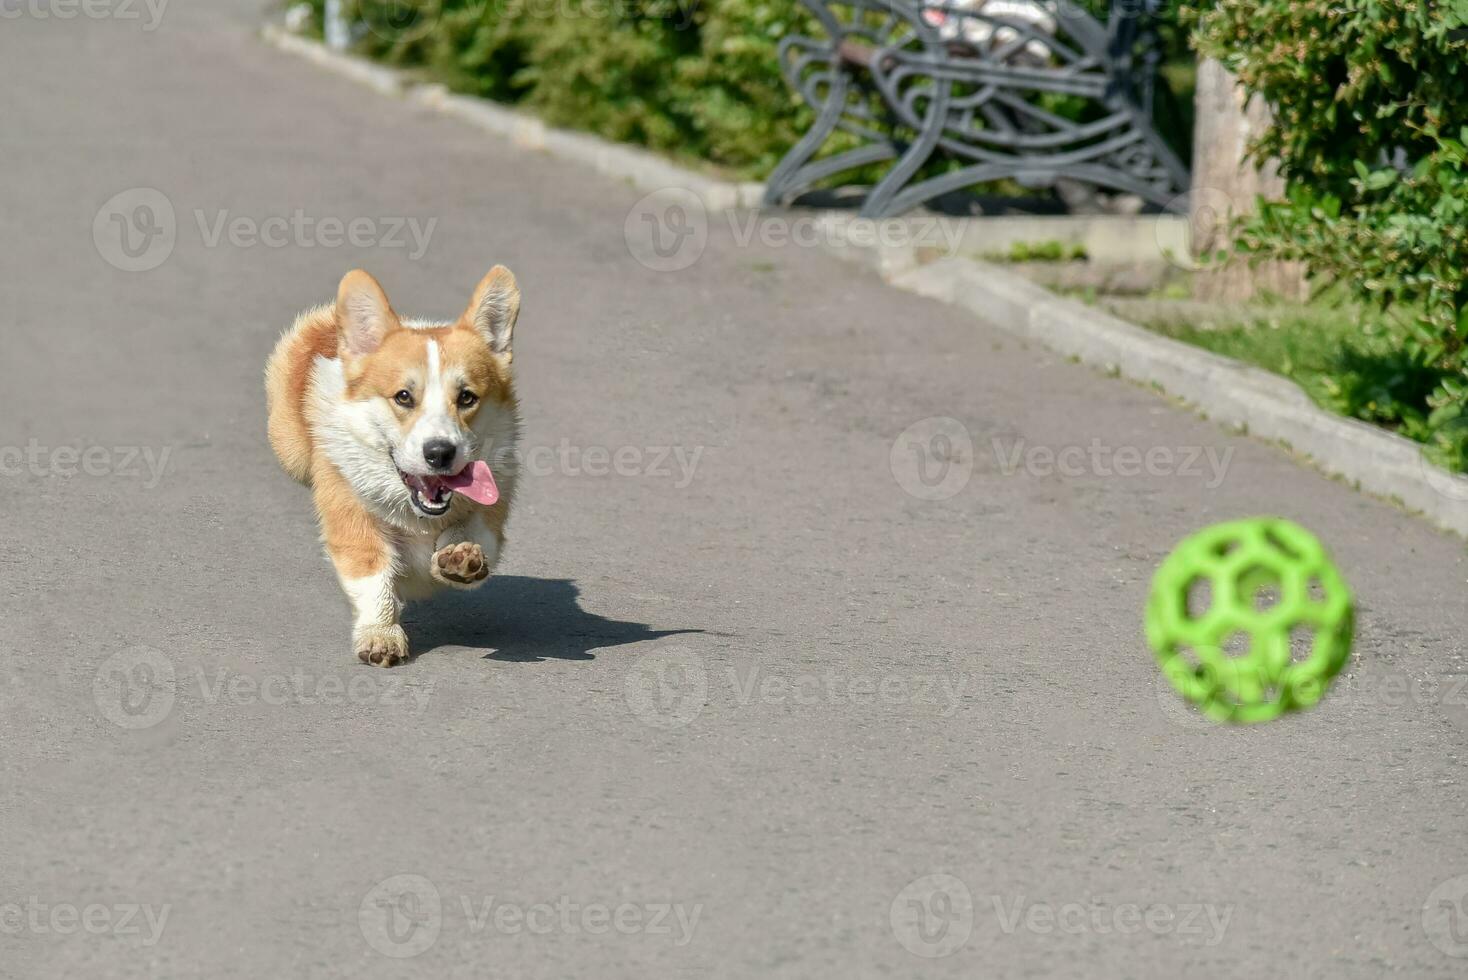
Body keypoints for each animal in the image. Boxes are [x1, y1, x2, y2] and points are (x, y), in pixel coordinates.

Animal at [270, 268, 522, 666]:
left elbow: (474, 534)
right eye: (403, 397)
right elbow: (373, 577)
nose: (440, 452)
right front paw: (381, 635)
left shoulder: (492, 508)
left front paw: (460, 555)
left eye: (467, 397)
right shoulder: (352, 518)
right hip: (290, 450)